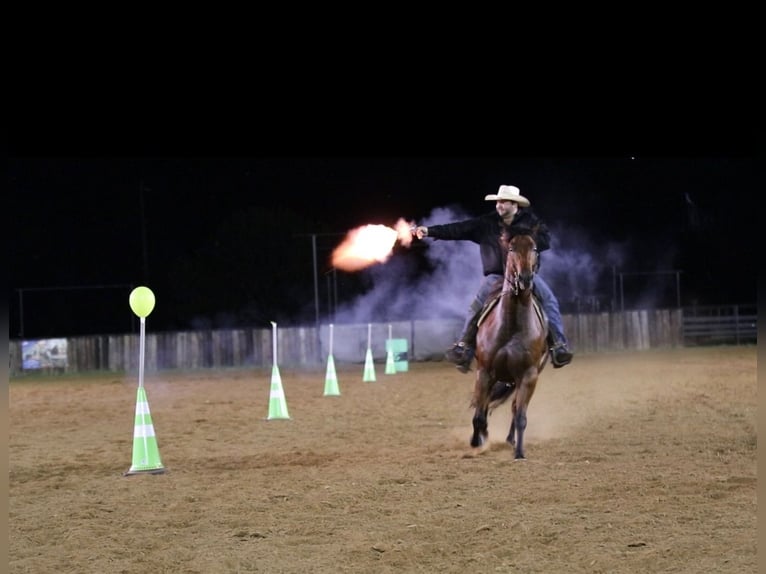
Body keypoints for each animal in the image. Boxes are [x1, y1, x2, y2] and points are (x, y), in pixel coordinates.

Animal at [468, 227, 552, 462]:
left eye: (534, 248)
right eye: (512, 248)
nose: (525, 278)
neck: (511, 326)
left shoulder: (528, 376)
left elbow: (521, 415)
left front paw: (519, 452)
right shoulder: (484, 372)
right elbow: (479, 414)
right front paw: (476, 442)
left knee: (514, 408)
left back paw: (510, 439)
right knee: (484, 406)